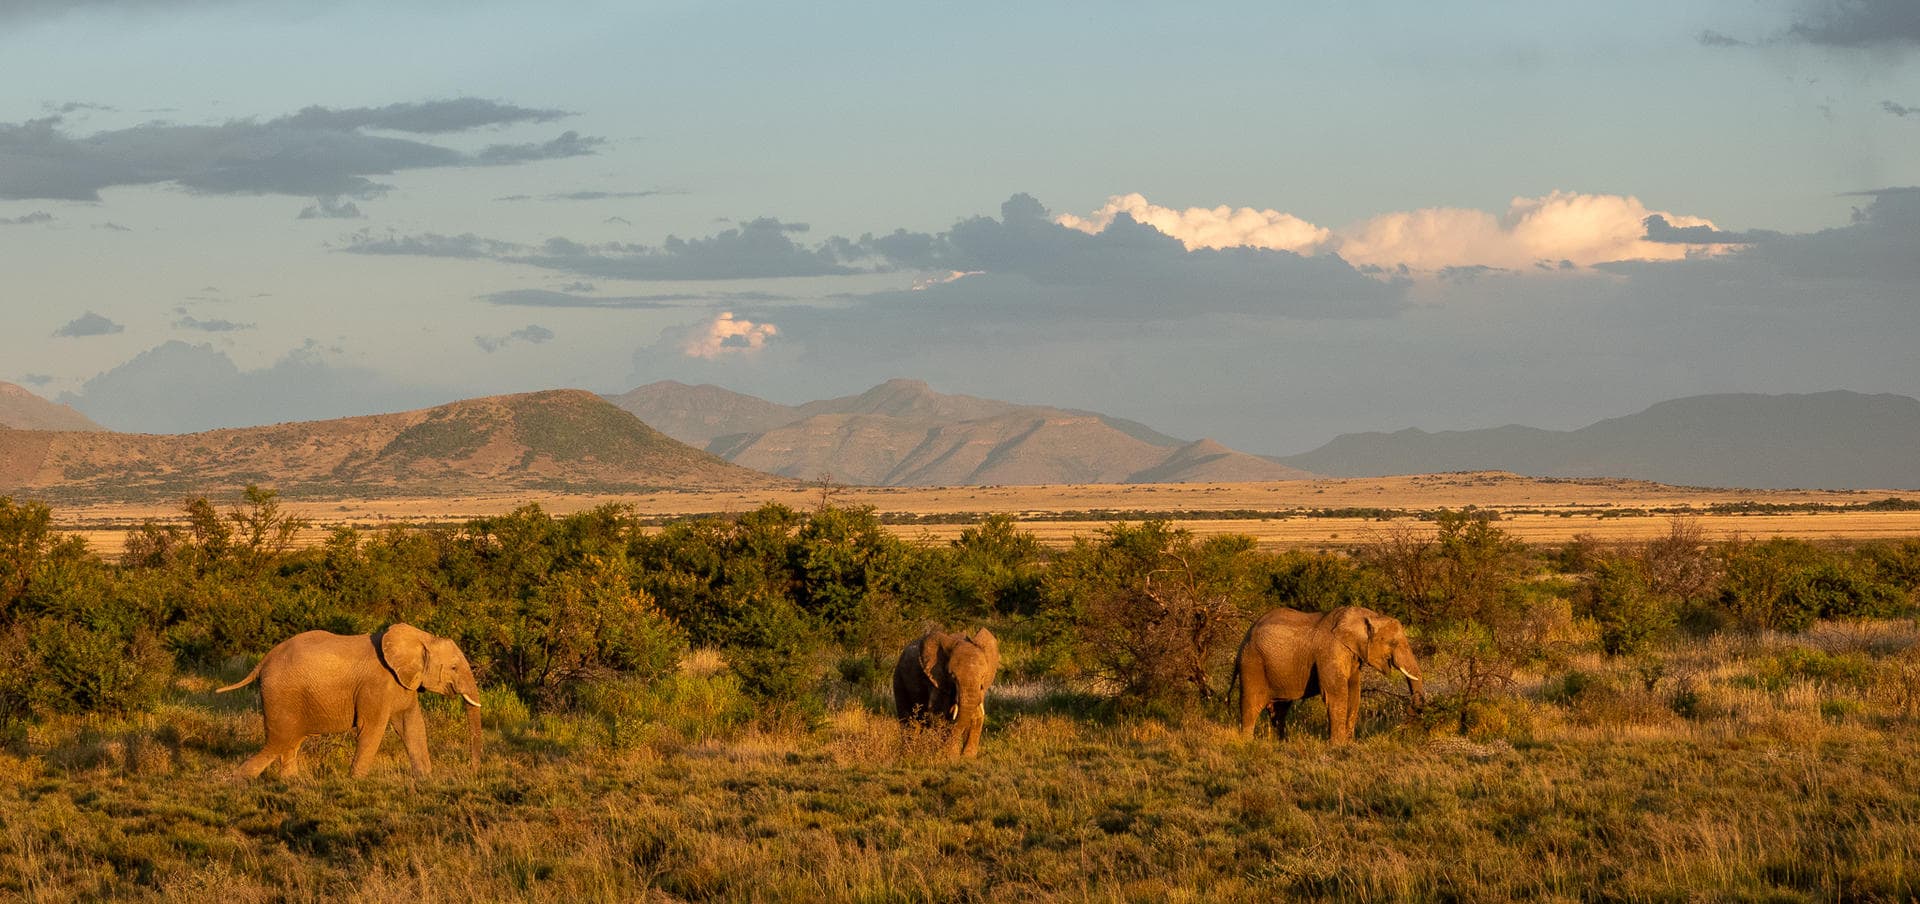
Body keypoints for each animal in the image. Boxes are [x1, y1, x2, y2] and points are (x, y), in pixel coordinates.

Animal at [217, 623, 483, 779]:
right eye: (454, 667)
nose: (473, 771)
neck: (421, 637)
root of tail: (264, 660)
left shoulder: (403, 683)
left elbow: (412, 726)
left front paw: (425, 780)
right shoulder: (376, 686)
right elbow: (372, 729)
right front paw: (355, 781)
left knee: (291, 741)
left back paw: (290, 784)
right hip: (281, 694)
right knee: (279, 741)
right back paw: (239, 781)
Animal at [891, 627, 1000, 756]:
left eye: (983, 676)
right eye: (952, 676)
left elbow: (977, 716)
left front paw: (967, 757)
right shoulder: (937, 681)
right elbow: (939, 715)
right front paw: (950, 756)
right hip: (899, 679)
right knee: (909, 720)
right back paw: (909, 753)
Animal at [1233, 606, 1424, 744]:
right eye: (1393, 643)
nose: (1410, 709)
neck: (1368, 615)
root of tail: (1245, 636)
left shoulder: (1353, 656)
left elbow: (1353, 693)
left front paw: (1348, 744)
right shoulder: (1330, 650)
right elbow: (1337, 694)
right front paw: (1337, 746)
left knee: (1280, 710)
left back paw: (1281, 742)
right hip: (1252, 663)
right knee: (1251, 704)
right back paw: (1247, 742)